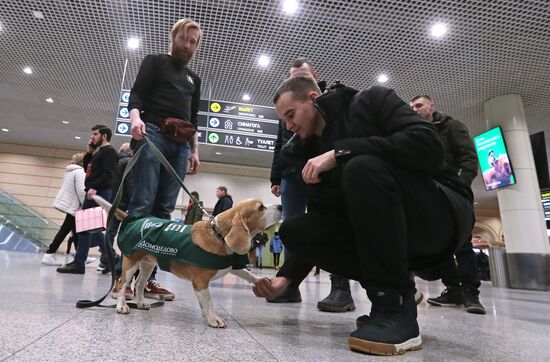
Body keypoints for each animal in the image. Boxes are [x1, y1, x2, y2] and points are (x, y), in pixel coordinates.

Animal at [95, 195, 282, 328]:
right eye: (261, 207)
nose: (281, 206)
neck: (218, 235)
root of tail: (132, 218)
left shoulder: (230, 264)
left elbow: (247, 273)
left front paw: (262, 281)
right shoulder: (200, 282)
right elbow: (209, 301)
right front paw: (213, 318)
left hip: (148, 265)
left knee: (140, 285)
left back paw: (141, 303)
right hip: (130, 263)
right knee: (123, 283)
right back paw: (121, 305)